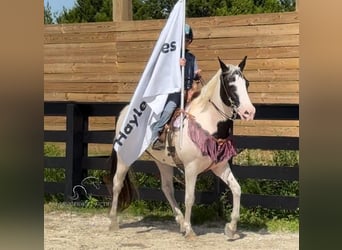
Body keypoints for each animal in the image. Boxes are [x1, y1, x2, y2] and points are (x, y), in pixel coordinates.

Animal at [105, 55, 255, 239]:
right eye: (230, 83)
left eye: (246, 83)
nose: (249, 112)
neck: (206, 122)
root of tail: (125, 111)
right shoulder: (190, 168)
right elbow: (189, 198)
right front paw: (190, 231)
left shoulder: (219, 166)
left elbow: (236, 189)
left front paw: (231, 228)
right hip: (124, 157)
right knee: (117, 183)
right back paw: (113, 221)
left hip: (162, 161)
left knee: (167, 188)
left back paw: (181, 222)